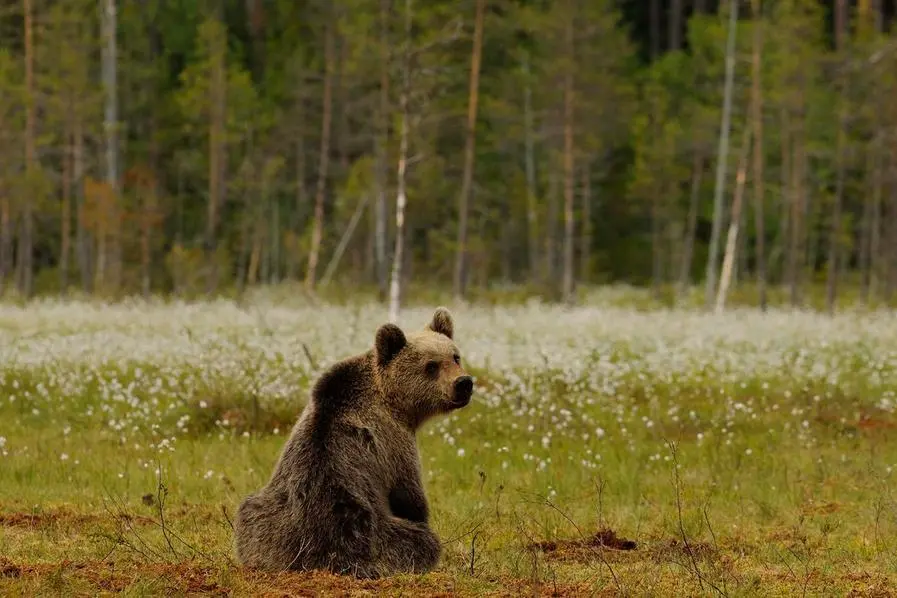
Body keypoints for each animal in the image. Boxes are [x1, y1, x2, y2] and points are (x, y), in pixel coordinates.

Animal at [233, 307, 473, 578]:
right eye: (431, 365)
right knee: (420, 542)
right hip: (372, 535)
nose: (463, 383)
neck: (393, 400)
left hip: (268, 521)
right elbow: (409, 495)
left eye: (455, 356)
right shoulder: (395, 441)